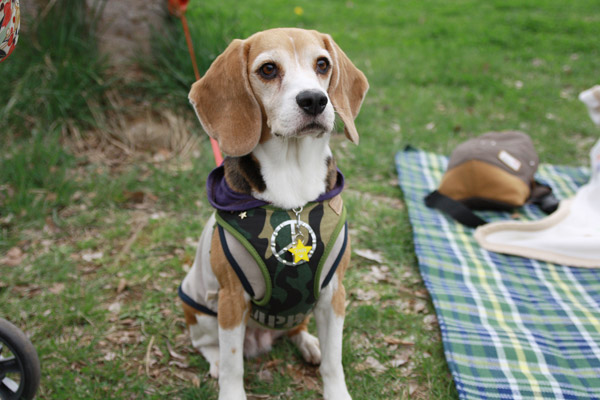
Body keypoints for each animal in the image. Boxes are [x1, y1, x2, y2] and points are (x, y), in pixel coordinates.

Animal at [179, 28, 366, 400]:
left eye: (322, 64)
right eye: (267, 69)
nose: (314, 100)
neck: (292, 186)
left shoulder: (333, 294)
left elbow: (334, 361)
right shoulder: (232, 299)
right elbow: (234, 366)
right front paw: (230, 389)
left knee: (297, 331)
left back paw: (308, 343)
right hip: (200, 308)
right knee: (208, 344)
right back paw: (216, 360)